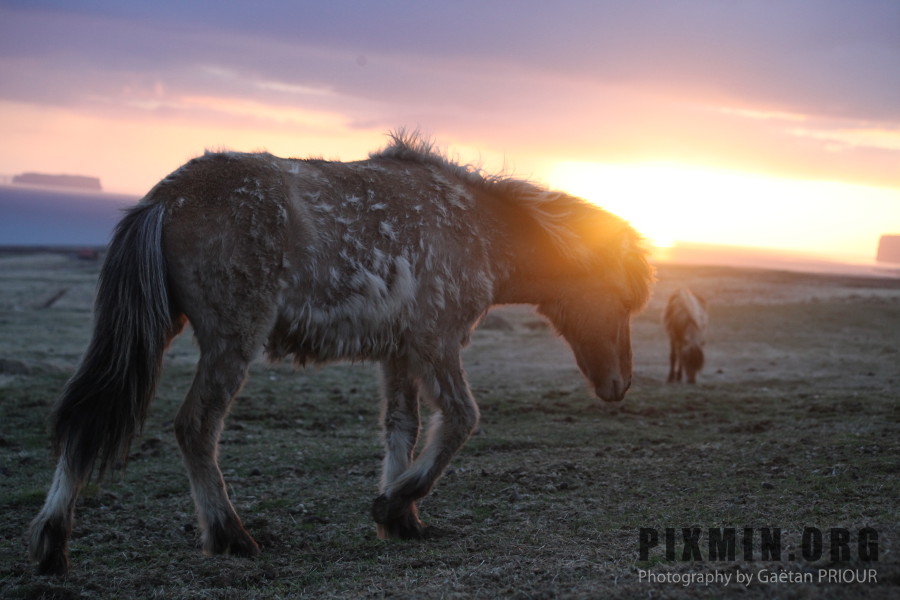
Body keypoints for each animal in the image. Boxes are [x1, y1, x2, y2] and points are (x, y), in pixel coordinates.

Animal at [28, 132, 652, 576]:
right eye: (623, 298)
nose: (619, 384)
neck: (474, 226)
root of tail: (164, 198)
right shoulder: (437, 342)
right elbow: (460, 420)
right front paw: (392, 507)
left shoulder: (400, 352)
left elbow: (402, 427)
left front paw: (403, 519)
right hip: (230, 342)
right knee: (195, 427)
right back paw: (231, 537)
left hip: (157, 330)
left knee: (87, 418)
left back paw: (52, 543)